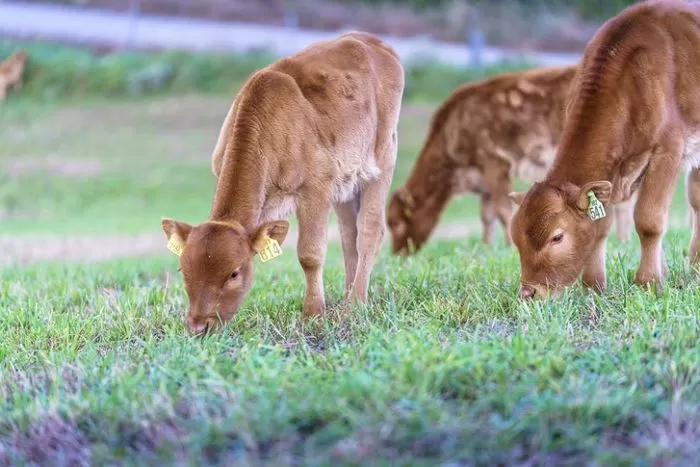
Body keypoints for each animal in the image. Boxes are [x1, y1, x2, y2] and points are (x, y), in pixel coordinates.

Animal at [159, 32, 404, 332]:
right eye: (183, 270)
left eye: (234, 273)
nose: (198, 326)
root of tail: (370, 40)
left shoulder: (316, 190)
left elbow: (310, 255)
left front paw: (313, 315)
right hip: (347, 181)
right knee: (349, 233)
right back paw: (347, 298)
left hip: (384, 157)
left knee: (369, 230)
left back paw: (356, 304)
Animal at [386, 64, 636, 256]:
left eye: (396, 223)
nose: (398, 254)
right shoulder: (483, 177)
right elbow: (487, 215)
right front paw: (486, 246)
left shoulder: (495, 162)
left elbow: (503, 210)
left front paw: (507, 245)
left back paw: (623, 241)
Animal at [508, 0, 700, 300]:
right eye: (516, 237)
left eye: (557, 237)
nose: (529, 293)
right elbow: (601, 226)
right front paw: (594, 285)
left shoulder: (669, 149)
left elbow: (649, 219)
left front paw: (648, 282)